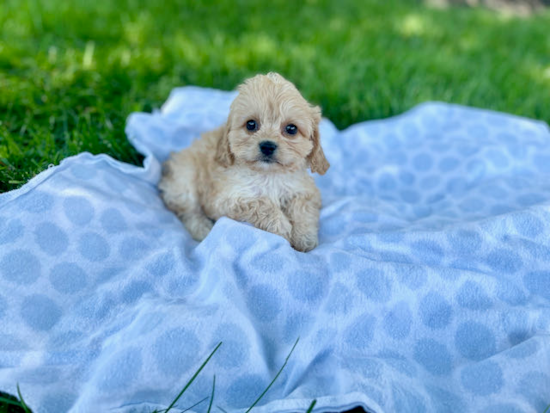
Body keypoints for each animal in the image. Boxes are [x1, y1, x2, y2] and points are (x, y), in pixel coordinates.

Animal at [160, 73, 332, 251]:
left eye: (291, 129)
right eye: (251, 124)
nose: (267, 146)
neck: (269, 175)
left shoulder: (305, 191)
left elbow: (302, 208)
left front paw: (305, 237)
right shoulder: (223, 200)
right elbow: (260, 204)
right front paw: (281, 226)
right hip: (183, 183)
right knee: (188, 212)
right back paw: (202, 228)